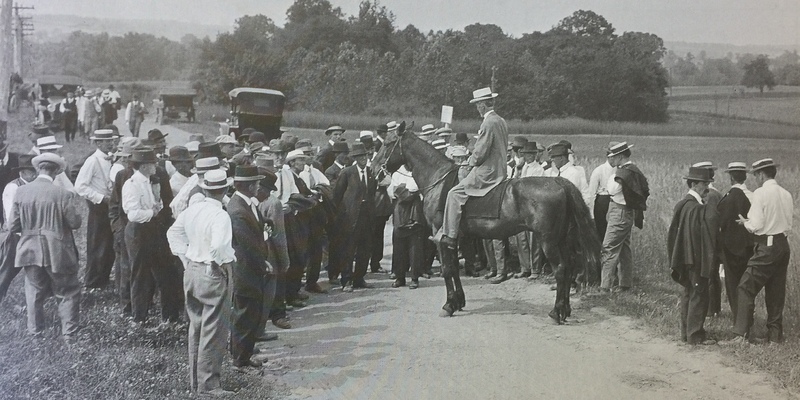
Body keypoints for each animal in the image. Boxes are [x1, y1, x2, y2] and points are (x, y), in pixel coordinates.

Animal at [376, 121, 600, 322]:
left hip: (548, 241)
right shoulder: (456, 237)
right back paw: (565, 310)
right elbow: (455, 268)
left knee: (561, 269)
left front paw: (448, 305)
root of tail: (558, 180)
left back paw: (555, 312)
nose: (373, 168)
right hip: (562, 239)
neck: (438, 179)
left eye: (387, 143)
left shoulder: (440, 234)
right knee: (569, 267)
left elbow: (448, 268)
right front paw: (459, 301)